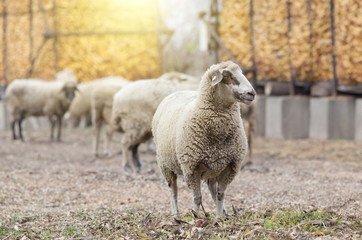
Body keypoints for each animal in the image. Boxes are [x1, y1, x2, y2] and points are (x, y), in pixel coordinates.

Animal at [151, 61, 256, 218]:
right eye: (227, 76)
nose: (251, 93)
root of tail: (176, 92)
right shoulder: (191, 167)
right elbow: (197, 198)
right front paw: (195, 217)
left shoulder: (229, 166)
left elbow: (220, 195)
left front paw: (219, 219)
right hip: (165, 165)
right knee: (173, 191)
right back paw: (177, 216)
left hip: (213, 167)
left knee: (212, 190)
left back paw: (223, 213)